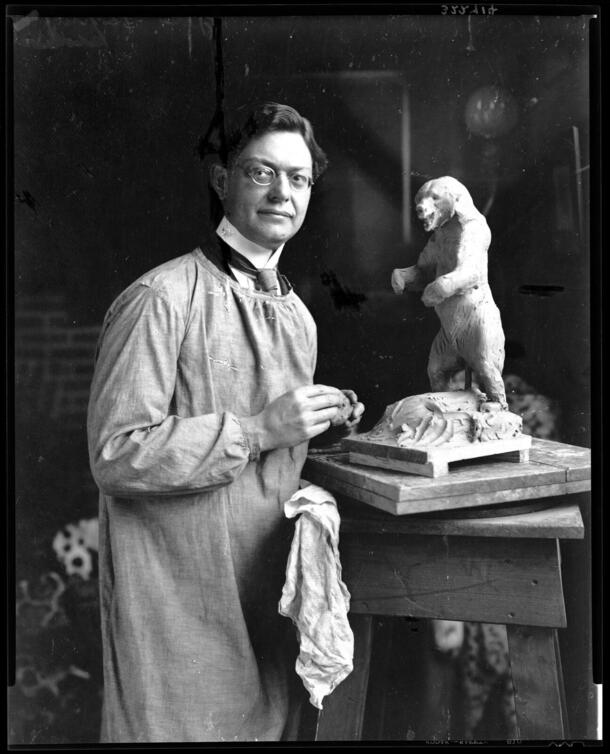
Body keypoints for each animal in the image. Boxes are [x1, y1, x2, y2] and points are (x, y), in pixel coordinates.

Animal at [392, 176, 506, 408]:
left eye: (435, 197)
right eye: (419, 198)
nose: (419, 209)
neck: (451, 227)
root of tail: (465, 357)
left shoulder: (473, 233)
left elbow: (468, 270)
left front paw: (429, 296)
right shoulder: (435, 240)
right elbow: (422, 271)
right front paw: (397, 283)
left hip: (483, 332)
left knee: (488, 366)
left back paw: (494, 404)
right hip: (445, 345)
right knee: (437, 370)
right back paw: (443, 395)